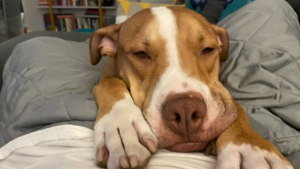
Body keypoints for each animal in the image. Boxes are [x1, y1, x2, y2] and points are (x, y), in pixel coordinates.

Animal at [88, 5, 292, 168]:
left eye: (208, 50)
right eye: (140, 54)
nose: (185, 109)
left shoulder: (220, 89)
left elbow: (235, 109)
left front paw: (248, 145)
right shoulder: (104, 76)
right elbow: (110, 83)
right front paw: (120, 125)